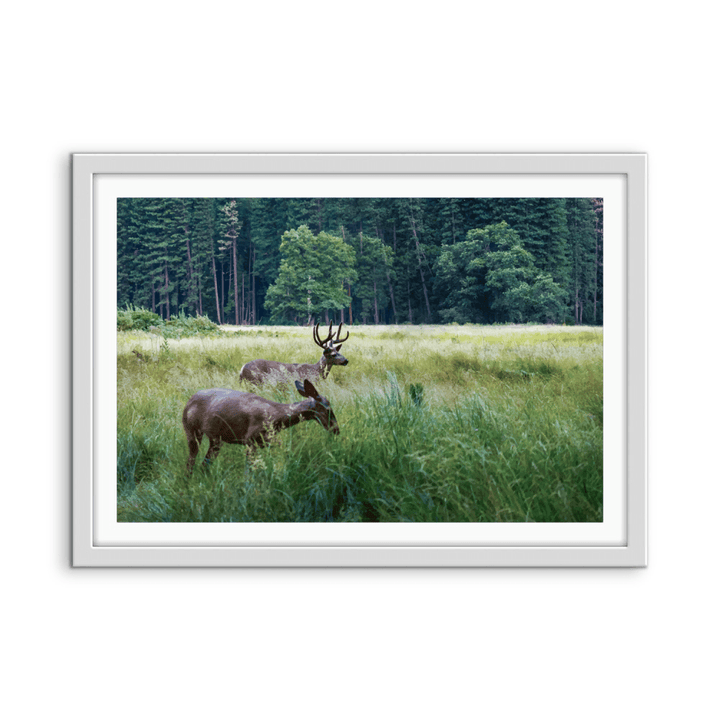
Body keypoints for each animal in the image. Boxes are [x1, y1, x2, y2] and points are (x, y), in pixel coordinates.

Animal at [182, 378, 339, 474]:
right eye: (328, 409)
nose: (336, 429)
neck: (276, 417)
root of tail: (188, 402)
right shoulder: (250, 440)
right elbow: (249, 471)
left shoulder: (267, 441)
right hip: (191, 431)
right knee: (190, 462)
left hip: (215, 440)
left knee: (204, 464)